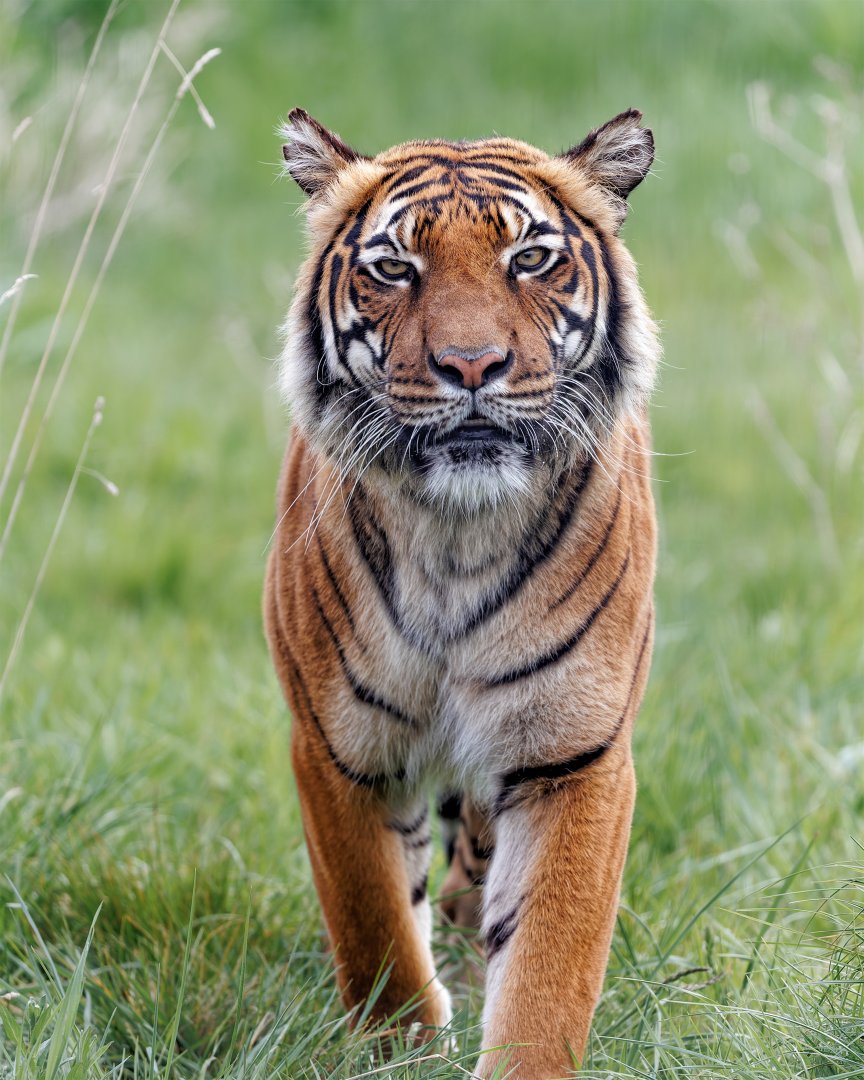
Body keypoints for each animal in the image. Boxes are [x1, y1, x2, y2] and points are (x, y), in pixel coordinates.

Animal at [263, 106, 659, 1078]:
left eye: (531, 259)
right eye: (394, 268)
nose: (472, 365)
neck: (456, 536)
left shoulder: (574, 752)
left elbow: (550, 962)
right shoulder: (338, 745)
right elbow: (374, 927)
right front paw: (401, 1045)